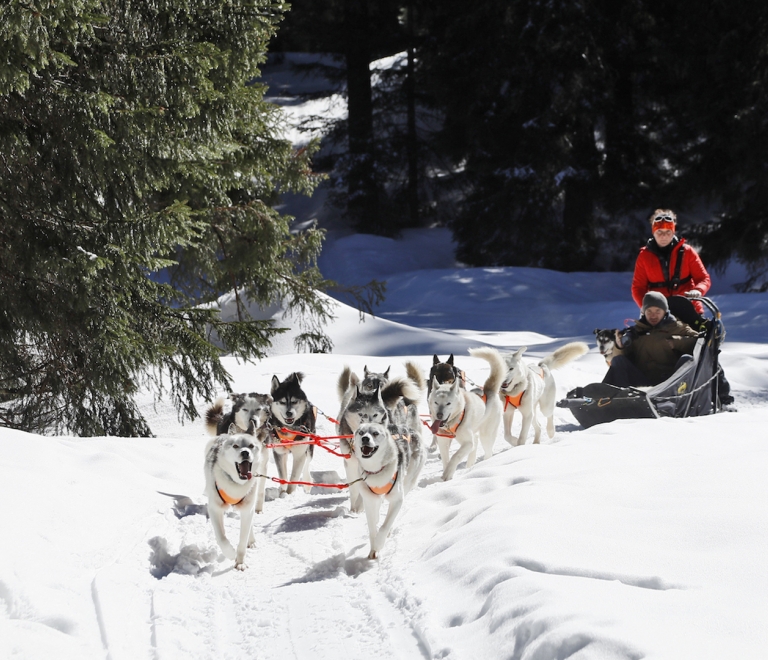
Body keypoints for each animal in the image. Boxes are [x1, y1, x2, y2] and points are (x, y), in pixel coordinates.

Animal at [204, 426, 268, 568]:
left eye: (251, 446)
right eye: (235, 446)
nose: (245, 453)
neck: (236, 484)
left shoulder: (247, 509)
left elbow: (243, 540)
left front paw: (240, 563)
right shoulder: (214, 509)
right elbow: (221, 537)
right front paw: (230, 553)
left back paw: (252, 540)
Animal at [354, 422, 426, 564]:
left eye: (375, 433)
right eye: (361, 432)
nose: (365, 438)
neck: (376, 471)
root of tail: (409, 428)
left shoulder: (397, 499)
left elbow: (385, 526)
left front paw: (378, 544)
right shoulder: (370, 500)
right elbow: (372, 528)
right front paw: (373, 549)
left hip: (407, 482)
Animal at [426, 346, 504, 480]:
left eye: (448, 403)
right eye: (436, 402)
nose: (439, 415)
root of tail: (488, 391)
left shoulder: (467, 443)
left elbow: (455, 456)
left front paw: (448, 473)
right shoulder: (443, 441)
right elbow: (446, 459)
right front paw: (447, 474)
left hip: (486, 435)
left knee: (488, 451)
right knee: (476, 444)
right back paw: (469, 466)